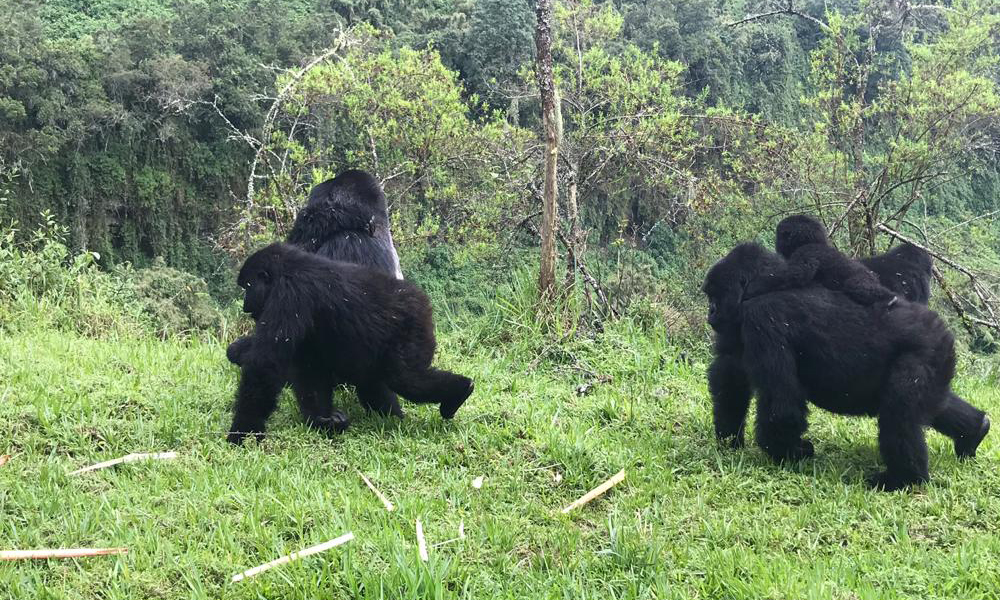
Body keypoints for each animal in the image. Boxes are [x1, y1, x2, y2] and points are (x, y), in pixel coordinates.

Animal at [229, 241, 474, 442]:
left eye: (248, 286)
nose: (246, 305)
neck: (286, 268)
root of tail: (423, 299)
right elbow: (309, 371)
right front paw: (325, 421)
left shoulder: (288, 296)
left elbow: (264, 365)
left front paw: (243, 431)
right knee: (376, 380)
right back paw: (392, 417)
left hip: (414, 325)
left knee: (407, 378)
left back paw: (459, 390)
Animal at [708, 241, 988, 490]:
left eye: (715, 296)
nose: (711, 312)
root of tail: (941, 328)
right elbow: (729, 376)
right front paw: (729, 439)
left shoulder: (763, 317)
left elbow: (782, 406)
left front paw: (790, 452)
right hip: (936, 358)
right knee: (931, 404)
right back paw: (975, 430)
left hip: (926, 351)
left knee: (900, 414)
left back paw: (904, 479)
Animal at [744, 213, 900, 308]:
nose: (777, 243)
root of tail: (872, 276)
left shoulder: (805, 252)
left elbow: (798, 273)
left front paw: (758, 286)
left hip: (861, 278)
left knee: (858, 286)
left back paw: (888, 298)